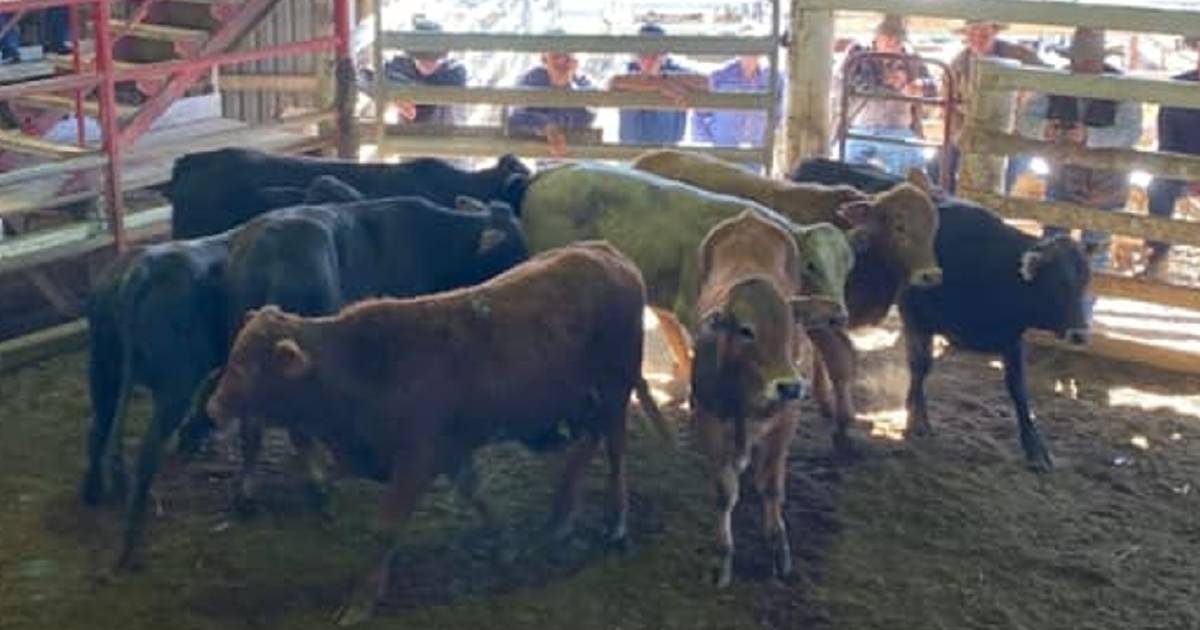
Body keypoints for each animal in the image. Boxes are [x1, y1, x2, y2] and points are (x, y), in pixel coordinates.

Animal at [210, 241, 672, 624]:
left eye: (248, 367)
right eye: (233, 355)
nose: (212, 409)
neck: (365, 365)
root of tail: (607, 252)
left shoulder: (418, 457)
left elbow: (387, 527)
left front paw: (362, 599)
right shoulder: (451, 450)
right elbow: (477, 493)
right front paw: (505, 543)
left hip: (614, 389)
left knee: (615, 452)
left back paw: (616, 527)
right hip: (581, 401)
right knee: (586, 442)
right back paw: (560, 520)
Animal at [686, 210, 816, 585]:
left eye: (791, 329)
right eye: (746, 331)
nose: (790, 386)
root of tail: (750, 217)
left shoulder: (786, 421)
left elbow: (771, 486)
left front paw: (778, 547)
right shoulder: (710, 419)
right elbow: (724, 491)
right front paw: (722, 557)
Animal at [792, 159, 1094, 468]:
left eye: (1084, 282)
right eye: (1056, 285)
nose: (1080, 333)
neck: (989, 263)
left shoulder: (1012, 337)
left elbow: (1018, 389)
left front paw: (1035, 447)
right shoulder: (915, 317)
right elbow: (921, 366)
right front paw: (917, 419)